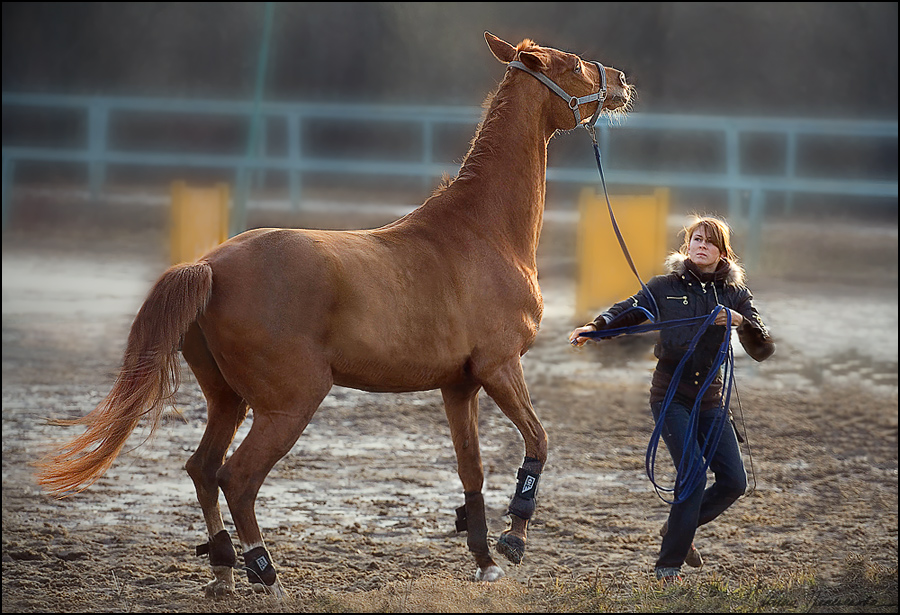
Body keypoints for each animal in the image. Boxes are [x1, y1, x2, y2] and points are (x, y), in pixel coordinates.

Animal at [37, 31, 632, 600]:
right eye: (573, 64)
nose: (621, 81)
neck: (482, 233)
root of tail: (209, 266)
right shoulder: (500, 368)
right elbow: (538, 442)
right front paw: (514, 541)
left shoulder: (458, 386)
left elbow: (473, 469)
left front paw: (486, 561)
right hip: (290, 404)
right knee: (238, 478)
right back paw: (266, 575)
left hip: (228, 400)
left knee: (203, 469)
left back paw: (224, 571)